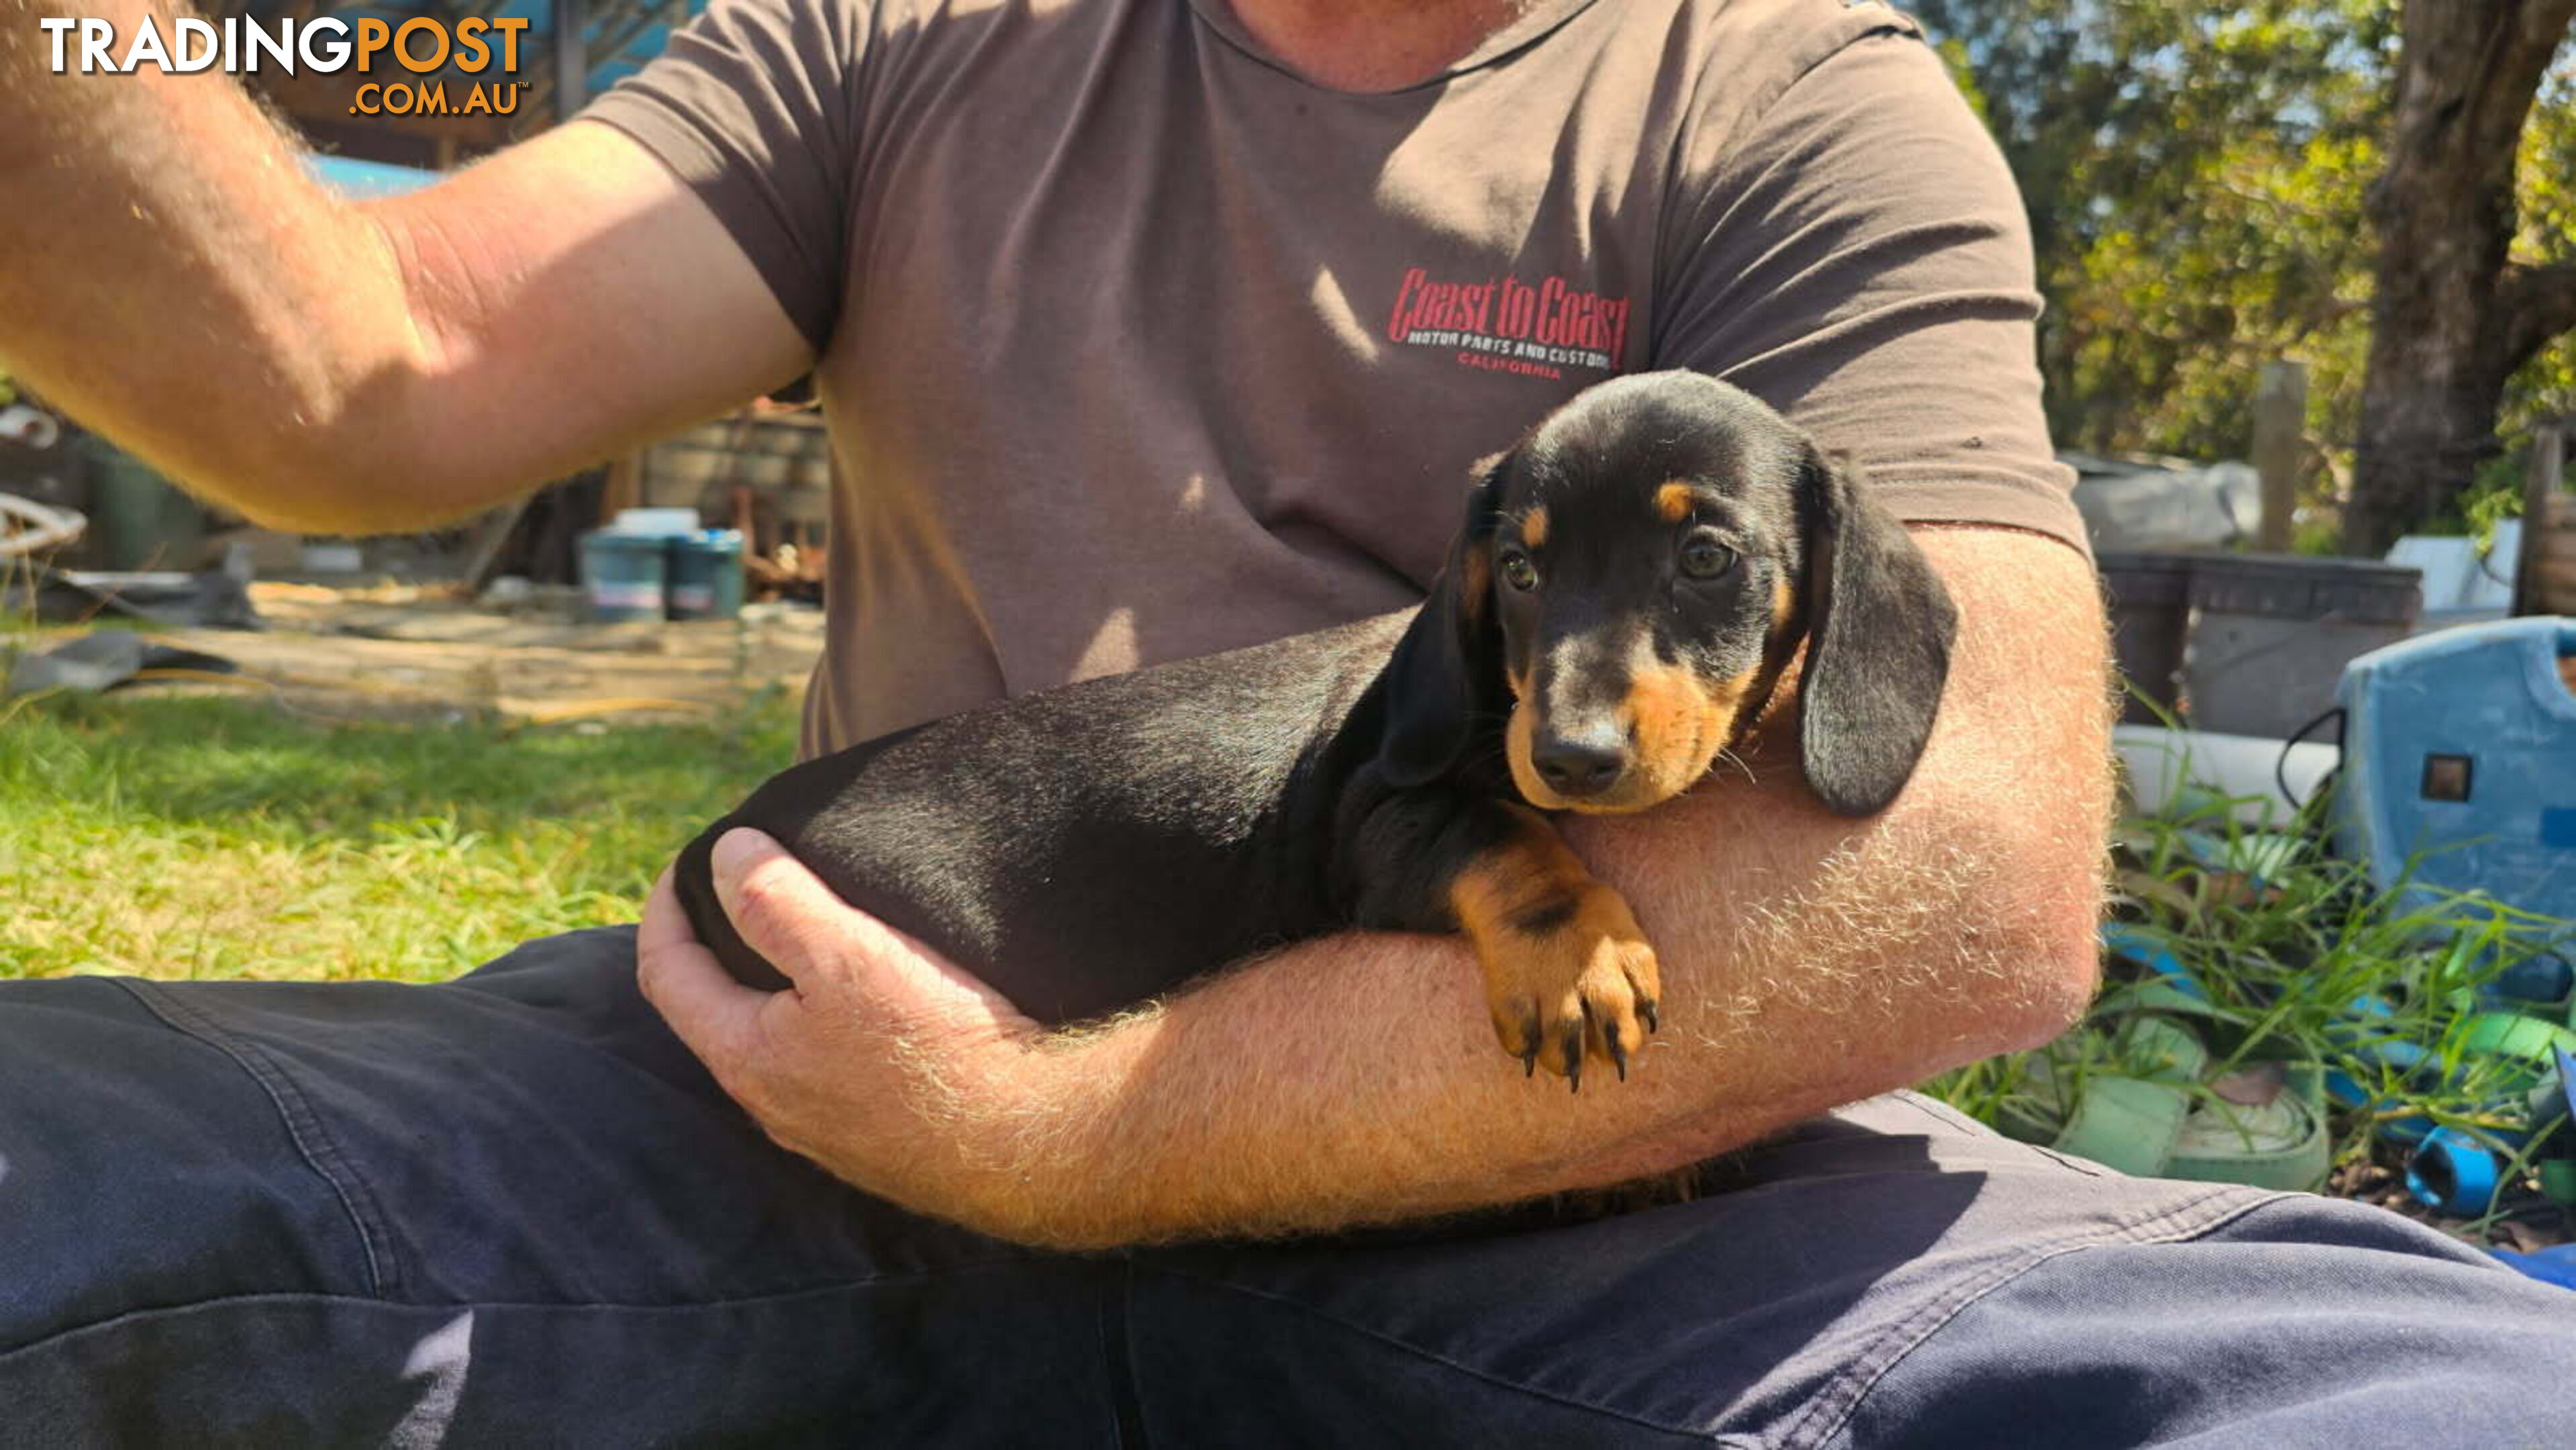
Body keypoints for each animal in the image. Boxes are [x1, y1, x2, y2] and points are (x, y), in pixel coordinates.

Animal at [669, 373, 1947, 1092]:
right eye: (1519, 569)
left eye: (1705, 558)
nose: (1568, 760)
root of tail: (710, 841)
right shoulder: (1371, 826)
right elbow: (1497, 836)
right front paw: (1577, 961)